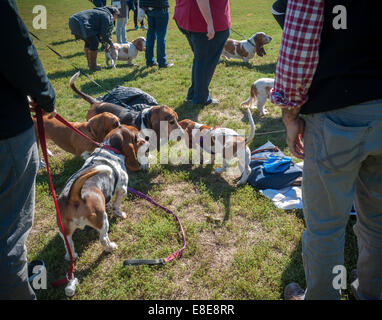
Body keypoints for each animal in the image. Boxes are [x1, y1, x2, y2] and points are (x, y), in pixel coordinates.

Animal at [57, 124, 148, 262]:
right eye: (137, 136)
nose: (147, 140)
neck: (109, 148)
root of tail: (74, 196)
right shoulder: (122, 189)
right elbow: (116, 205)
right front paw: (120, 214)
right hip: (103, 221)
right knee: (103, 239)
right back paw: (111, 247)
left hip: (64, 232)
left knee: (69, 246)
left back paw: (72, 256)